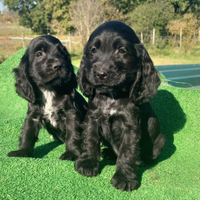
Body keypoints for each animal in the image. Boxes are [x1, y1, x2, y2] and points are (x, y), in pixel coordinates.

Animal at [75, 21, 166, 191]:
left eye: (122, 51)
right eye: (94, 50)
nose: (100, 74)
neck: (112, 95)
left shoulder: (130, 126)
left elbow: (127, 152)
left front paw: (124, 178)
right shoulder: (92, 117)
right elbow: (90, 139)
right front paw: (88, 163)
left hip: (160, 139)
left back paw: (140, 161)